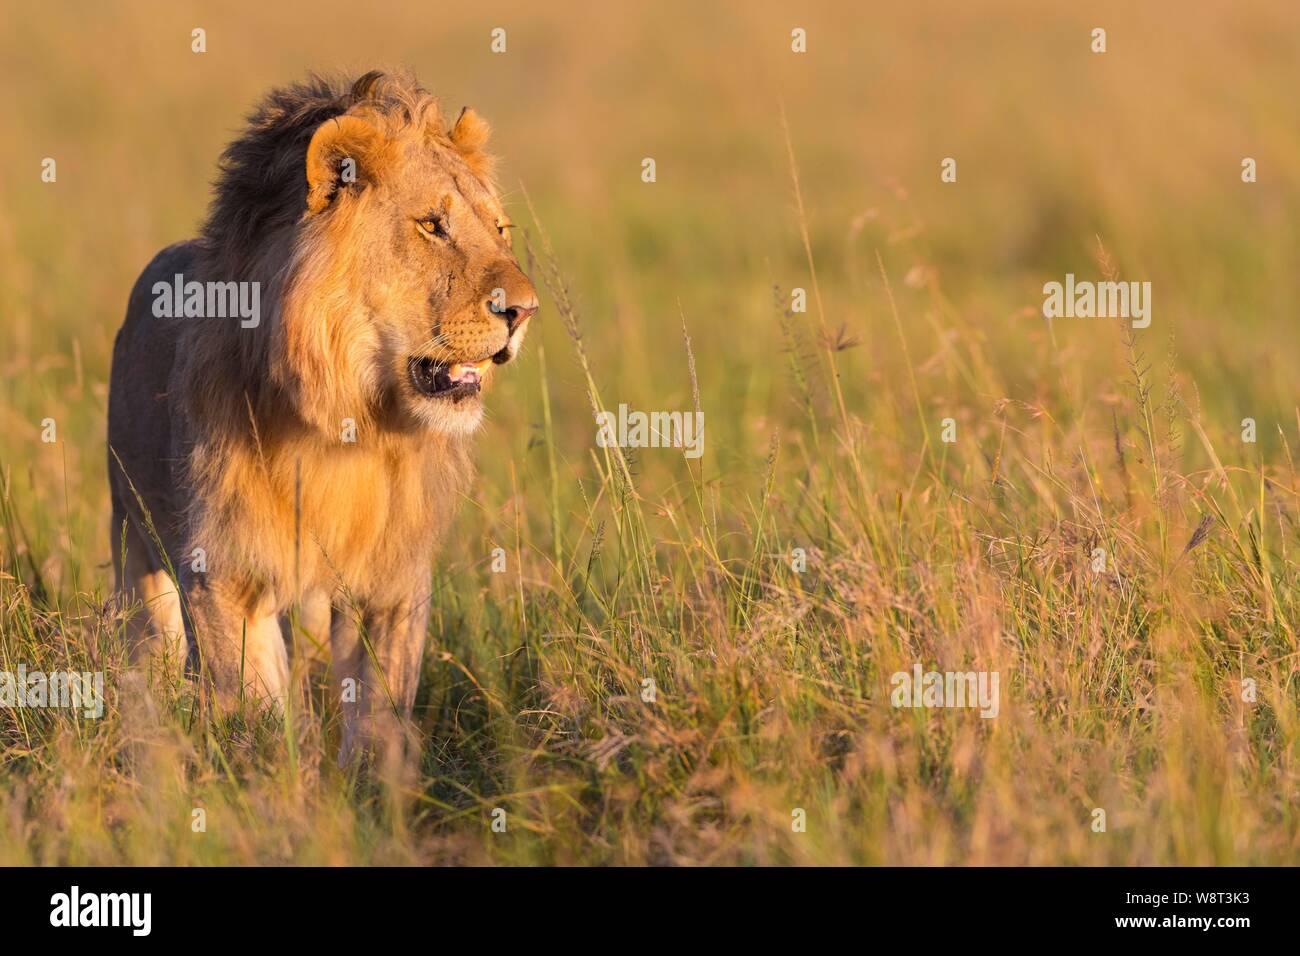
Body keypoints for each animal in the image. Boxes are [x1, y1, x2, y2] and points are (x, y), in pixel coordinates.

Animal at [107, 70, 538, 764]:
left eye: (500, 229)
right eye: (432, 225)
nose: (524, 310)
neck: (348, 418)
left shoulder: (393, 581)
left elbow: (380, 708)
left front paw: (371, 784)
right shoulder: (223, 573)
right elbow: (249, 702)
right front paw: (268, 773)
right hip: (133, 540)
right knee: (150, 642)